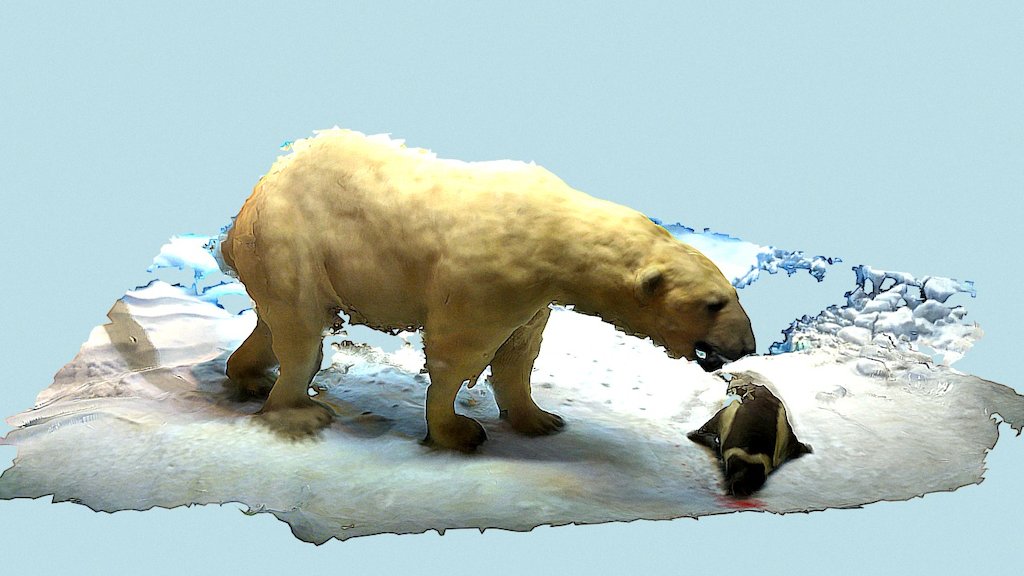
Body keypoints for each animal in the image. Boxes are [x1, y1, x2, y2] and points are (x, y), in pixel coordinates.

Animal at [221, 129, 756, 452]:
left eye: (732, 295)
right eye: (713, 304)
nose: (746, 345)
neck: (555, 229)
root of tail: (256, 194)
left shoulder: (535, 296)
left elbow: (520, 353)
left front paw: (540, 419)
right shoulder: (490, 276)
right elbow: (459, 350)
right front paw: (457, 431)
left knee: (274, 323)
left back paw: (250, 377)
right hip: (292, 241)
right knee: (301, 331)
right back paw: (298, 413)